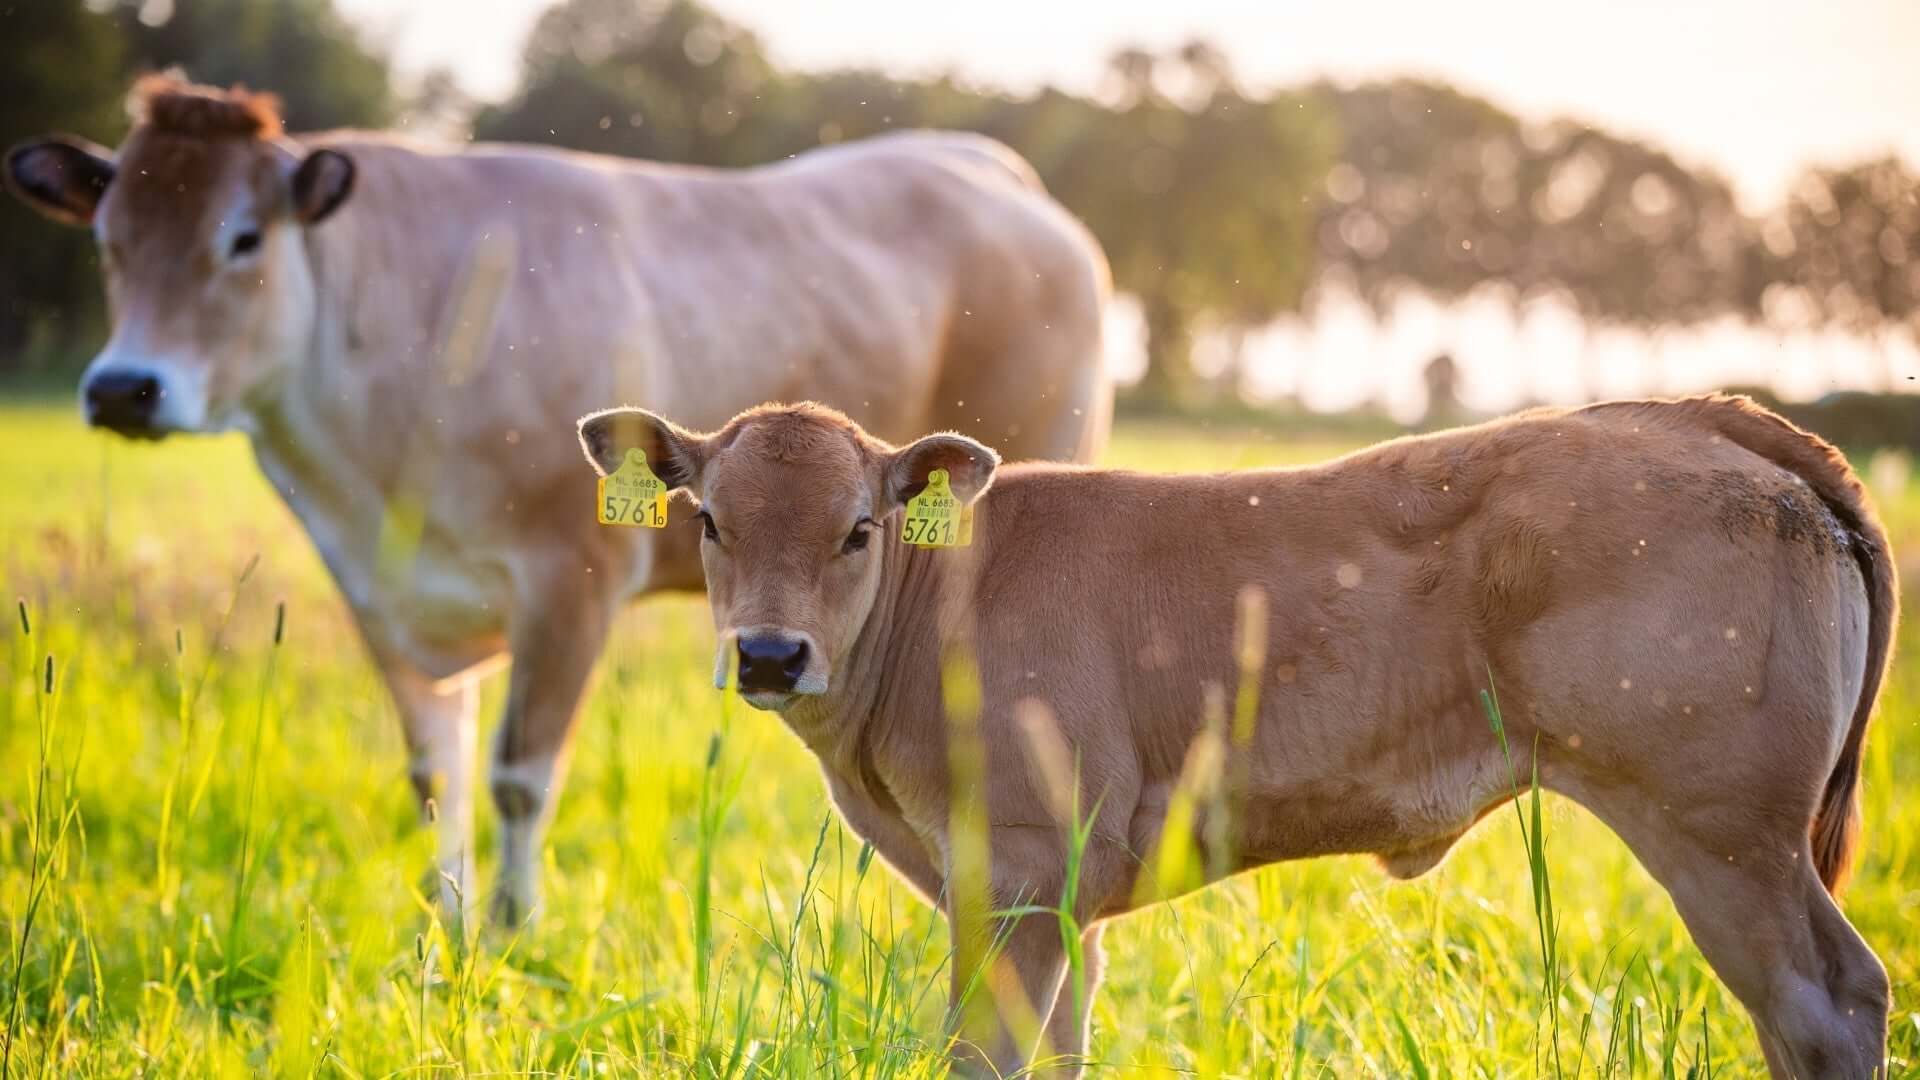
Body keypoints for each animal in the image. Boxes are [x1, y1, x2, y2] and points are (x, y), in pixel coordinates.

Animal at [4, 77, 1112, 922]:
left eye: (243, 239)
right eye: (107, 238)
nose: (124, 388)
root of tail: (996, 172)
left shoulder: (569, 581)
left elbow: (518, 773)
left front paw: (512, 930)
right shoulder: (378, 592)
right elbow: (436, 778)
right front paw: (441, 931)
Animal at [576, 394, 1897, 1078]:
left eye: (858, 528)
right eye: (709, 520)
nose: (769, 654)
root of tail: (1708, 422)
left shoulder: (1015, 871)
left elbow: (984, 1056)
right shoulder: (1056, 901)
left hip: (1721, 835)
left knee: (1826, 1001)